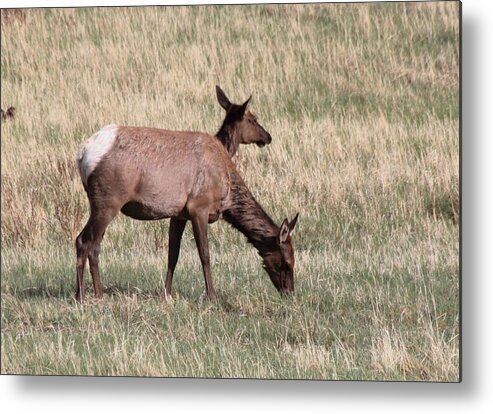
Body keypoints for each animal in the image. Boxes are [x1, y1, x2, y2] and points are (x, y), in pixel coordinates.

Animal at [75, 88, 298, 300]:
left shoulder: (178, 214)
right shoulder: (198, 206)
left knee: (94, 245)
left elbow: (173, 254)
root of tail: (82, 154)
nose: (289, 293)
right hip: (109, 200)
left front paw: (167, 294)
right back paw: (82, 296)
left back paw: (96, 293)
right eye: (288, 262)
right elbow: (204, 253)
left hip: (100, 202)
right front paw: (212, 296)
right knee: (84, 241)